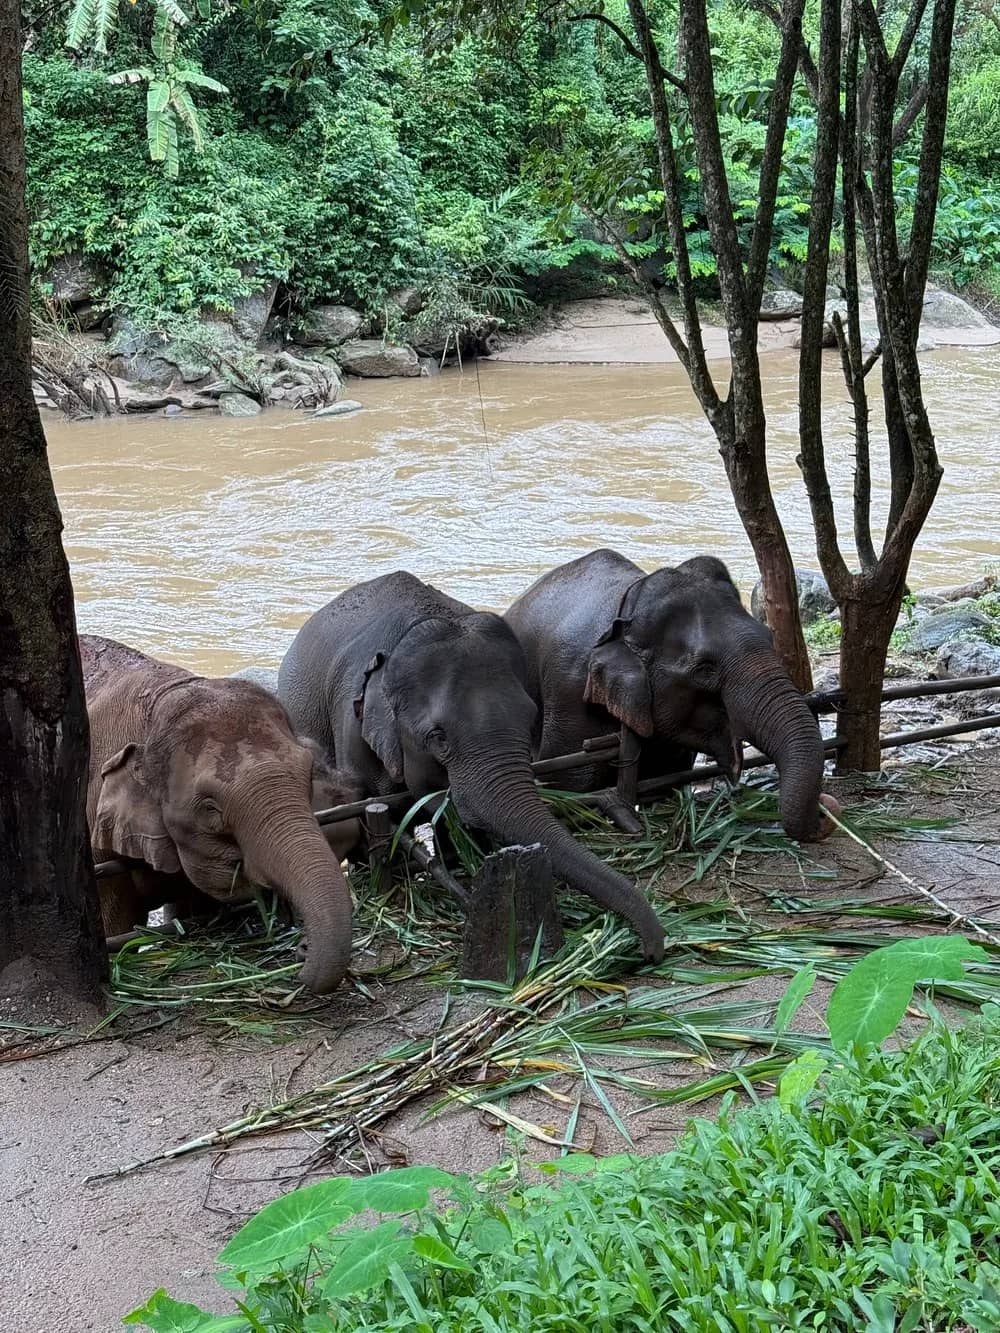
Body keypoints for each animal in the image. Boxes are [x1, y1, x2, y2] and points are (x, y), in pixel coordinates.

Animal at [81, 634, 362, 993]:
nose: (301, 950)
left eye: (309, 774)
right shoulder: (94, 840)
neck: (161, 700)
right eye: (209, 808)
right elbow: (115, 922)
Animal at [504, 549, 828, 843]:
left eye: (769, 637)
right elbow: (570, 784)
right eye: (705, 669)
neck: (626, 609)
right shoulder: (571, 697)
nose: (823, 819)